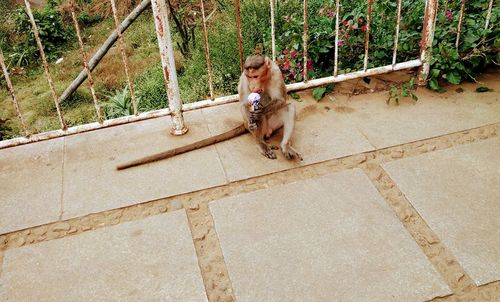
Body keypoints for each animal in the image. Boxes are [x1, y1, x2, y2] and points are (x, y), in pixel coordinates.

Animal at [117, 54, 302, 170]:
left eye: (255, 75)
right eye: (249, 77)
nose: (253, 84)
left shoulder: (276, 72)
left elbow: (281, 99)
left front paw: (261, 111)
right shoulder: (242, 78)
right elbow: (244, 104)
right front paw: (254, 116)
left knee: (289, 108)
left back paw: (284, 145)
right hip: (255, 127)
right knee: (255, 120)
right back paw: (260, 142)